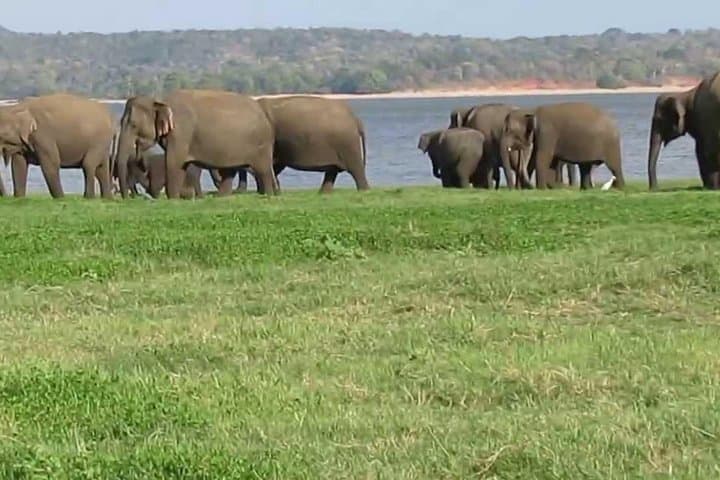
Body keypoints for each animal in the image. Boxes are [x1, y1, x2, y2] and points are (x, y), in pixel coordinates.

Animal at [115, 89, 276, 199]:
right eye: (121, 121)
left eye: (133, 125)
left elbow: (174, 162)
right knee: (229, 171)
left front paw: (172, 198)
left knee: (263, 171)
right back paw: (221, 197)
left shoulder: (181, 133)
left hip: (261, 145)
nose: (127, 198)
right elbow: (181, 165)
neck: (160, 101)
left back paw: (268, 195)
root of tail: (265, 116)